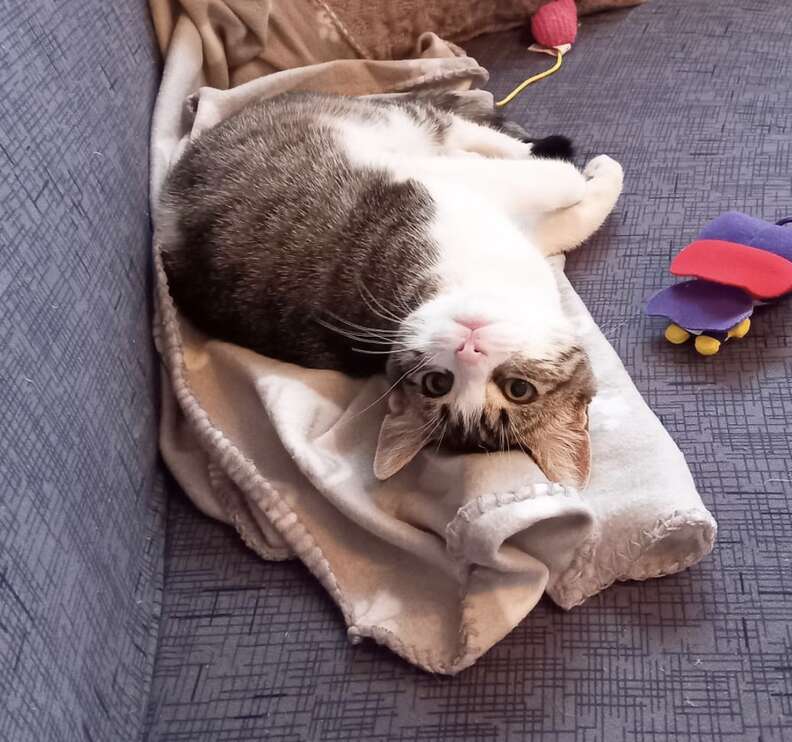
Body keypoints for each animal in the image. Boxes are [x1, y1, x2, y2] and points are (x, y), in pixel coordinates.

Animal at [158, 90, 620, 492]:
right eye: (438, 383)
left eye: (518, 390)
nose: (469, 347)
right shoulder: (433, 188)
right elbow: (562, 184)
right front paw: (597, 171)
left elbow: (573, 218)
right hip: (391, 120)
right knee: (454, 130)